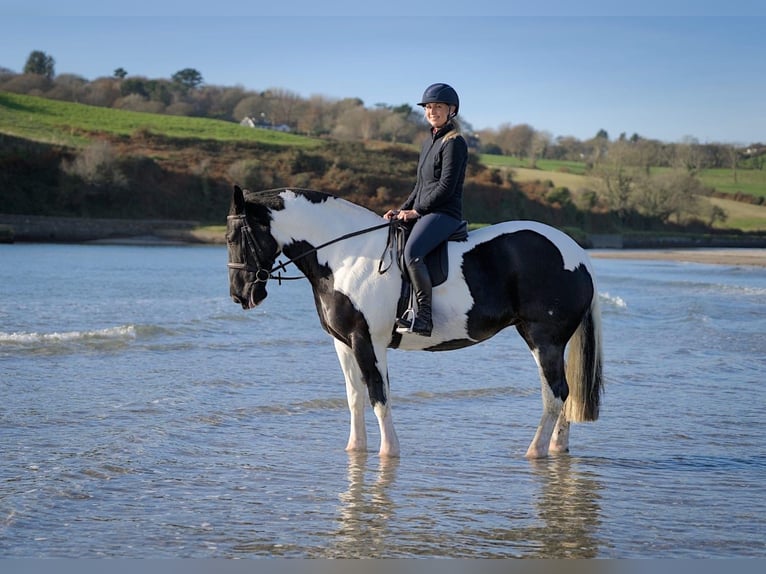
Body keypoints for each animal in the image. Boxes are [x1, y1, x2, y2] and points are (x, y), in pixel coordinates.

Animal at [228, 187, 608, 462]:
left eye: (235, 238)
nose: (240, 296)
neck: (345, 257)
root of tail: (577, 253)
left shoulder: (368, 340)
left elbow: (378, 395)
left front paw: (388, 452)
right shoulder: (343, 342)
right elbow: (354, 396)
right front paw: (355, 449)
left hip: (544, 339)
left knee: (555, 393)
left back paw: (535, 451)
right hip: (549, 342)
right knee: (562, 393)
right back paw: (557, 448)